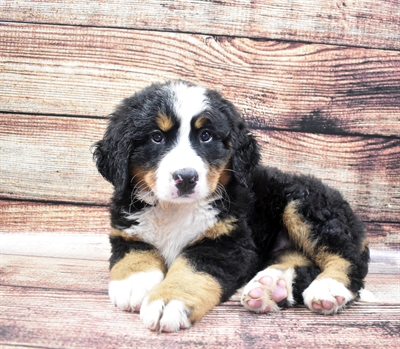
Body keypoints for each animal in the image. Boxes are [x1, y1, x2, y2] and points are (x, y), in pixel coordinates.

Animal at [93, 79, 368, 332]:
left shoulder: (228, 244)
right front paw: (133, 284)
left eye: (206, 136)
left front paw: (169, 300)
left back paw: (327, 288)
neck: (175, 210)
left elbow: (191, 271)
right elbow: (135, 254)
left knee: (349, 258)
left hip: (305, 205)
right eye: (156, 137)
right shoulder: (126, 230)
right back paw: (270, 287)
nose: (186, 177)